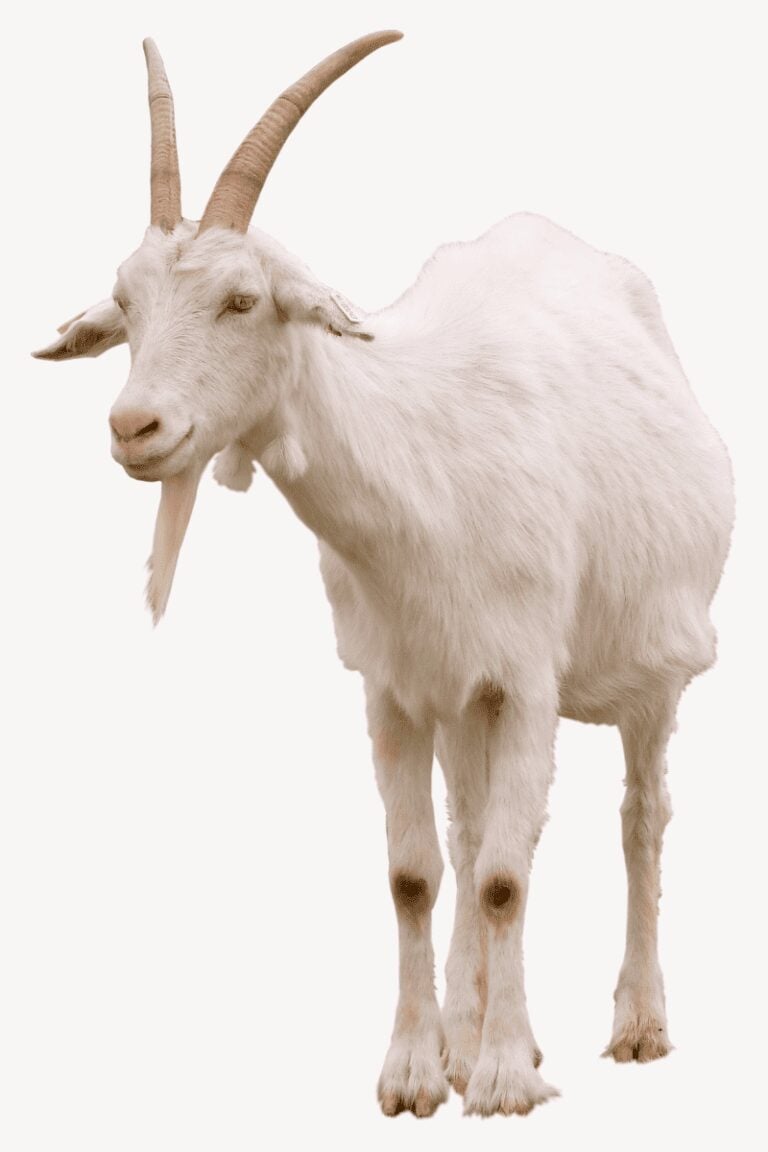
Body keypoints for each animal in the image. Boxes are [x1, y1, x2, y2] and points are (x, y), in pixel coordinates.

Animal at [33, 32, 734, 1117]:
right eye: (127, 305)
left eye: (242, 299)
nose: (135, 427)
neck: (426, 470)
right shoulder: (396, 684)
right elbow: (417, 871)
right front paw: (419, 1069)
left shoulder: (525, 678)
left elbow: (505, 874)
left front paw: (503, 1079)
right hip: (460, 700)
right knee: (469, 827)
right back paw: (468, 1030)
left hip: (655, 665)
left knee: (637, 820)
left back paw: (635, 1024)